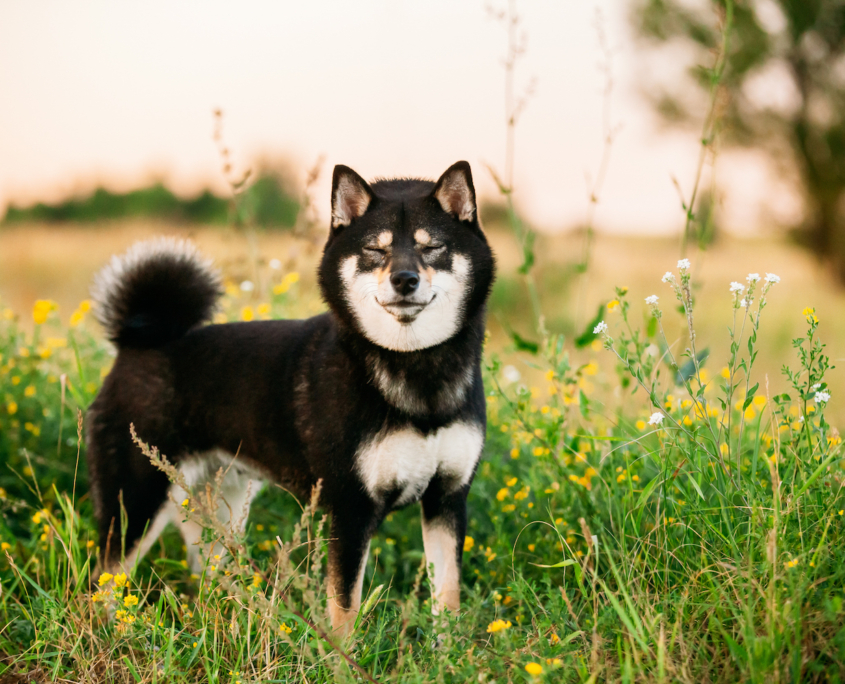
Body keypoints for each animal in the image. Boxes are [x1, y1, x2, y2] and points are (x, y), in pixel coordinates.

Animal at [85, 160, 494, 632]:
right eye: (375, 250)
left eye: (432, 248)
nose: (404, 280)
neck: (414, 366)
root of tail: (136, 343)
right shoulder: (350, 511)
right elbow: (345, 611)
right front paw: (343, 654)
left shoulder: (447, 499)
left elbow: (447, 599)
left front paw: (449, 647)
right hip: (134, 505)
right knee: (99, 586)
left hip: (220, 509)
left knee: (208, 579)